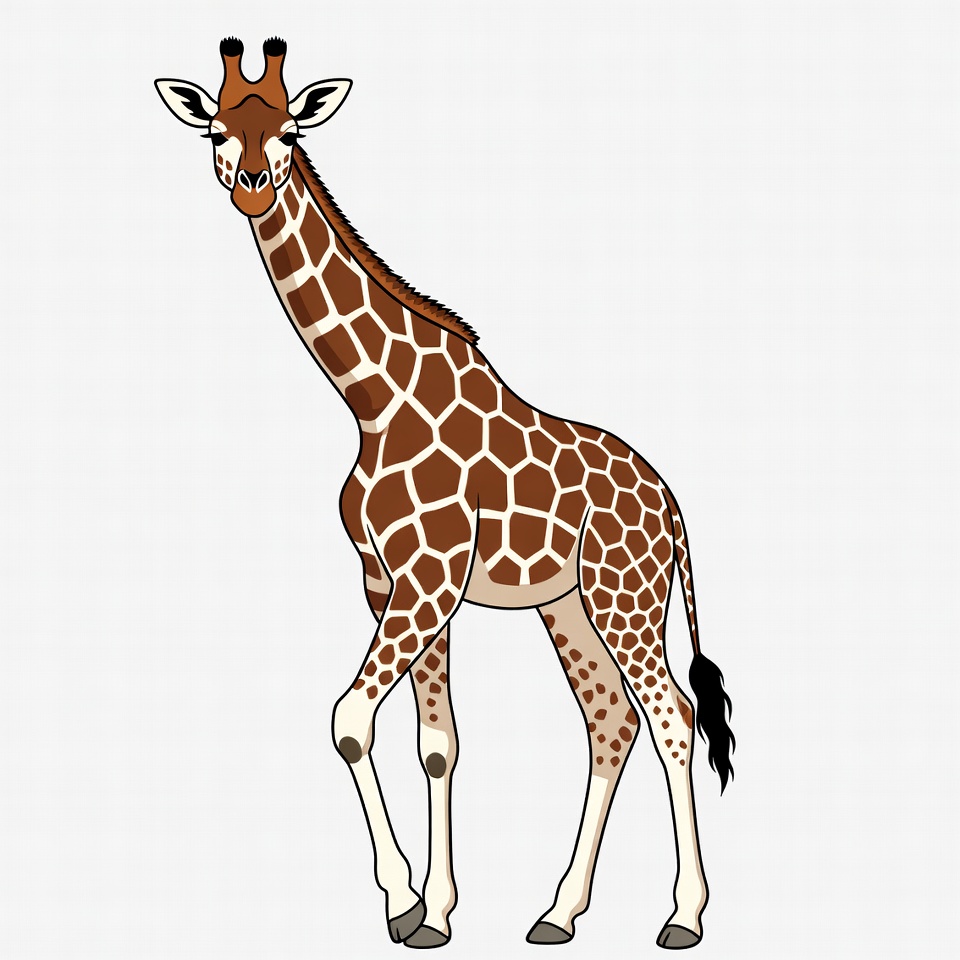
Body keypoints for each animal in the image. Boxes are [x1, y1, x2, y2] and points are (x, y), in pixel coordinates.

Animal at [156, 38, 735, 950]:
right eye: (217, 127)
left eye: (288, 130)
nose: (251, 183)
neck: (372, 396)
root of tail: (673, 508)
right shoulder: (388, 582)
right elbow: (436, 743)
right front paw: (431, 912)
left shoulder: (426, 583)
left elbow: (348, 721)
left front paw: (402, 900)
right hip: (566, 604)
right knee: (611, 721)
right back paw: (558, 913)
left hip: (627, 597)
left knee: (671, 716)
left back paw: (682, 917)